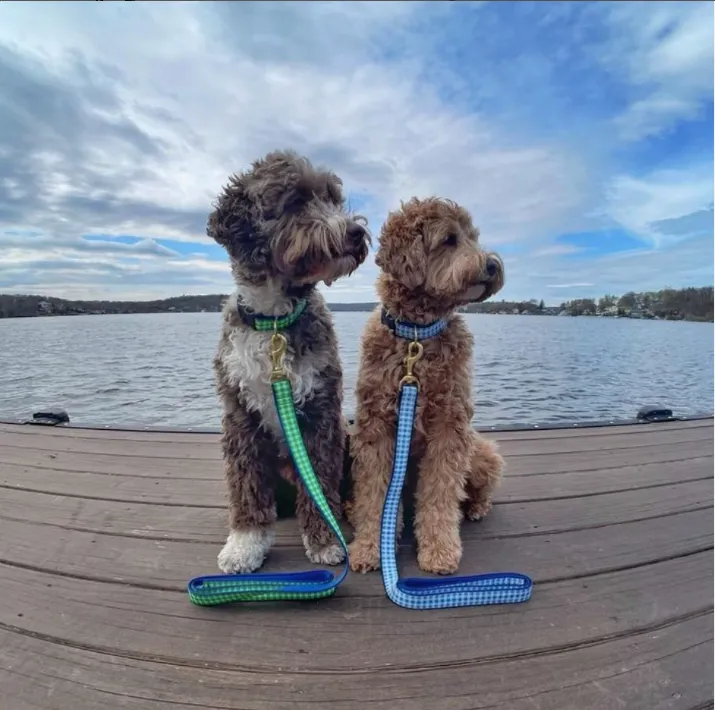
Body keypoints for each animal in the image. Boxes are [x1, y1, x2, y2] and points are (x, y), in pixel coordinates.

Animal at [207, 149, 372, 572]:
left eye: (333, 199)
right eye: (296, 201)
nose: (355, 232)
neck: (274, 322)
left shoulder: (320, 410)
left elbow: (320, 483)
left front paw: (325, 539)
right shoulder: (239, 415)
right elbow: (246, 487)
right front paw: (246, 543)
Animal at [350, 197, 506, 576]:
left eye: (473, 237)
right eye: (449, 239)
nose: (492, 265)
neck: (416, 337)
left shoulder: (450, 427)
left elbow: (440, 494)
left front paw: (439, 551)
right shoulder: (376, 428)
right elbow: (373, 494)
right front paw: (369, 547)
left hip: (482, 452)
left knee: (480, 487)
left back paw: (477, 507)